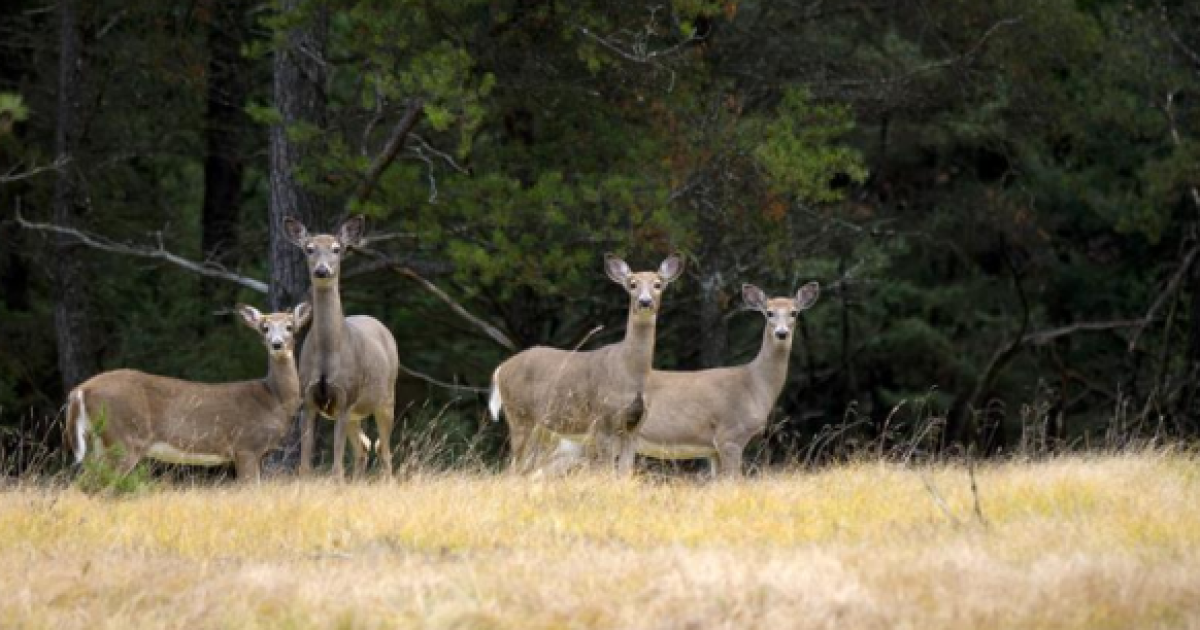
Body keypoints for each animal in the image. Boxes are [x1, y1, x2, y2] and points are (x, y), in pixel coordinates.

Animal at [65, 303, 311, 482]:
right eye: (264, 327)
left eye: (290, 326)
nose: (277, 344)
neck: (274, 400)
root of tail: (81, 389)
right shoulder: (246, 446)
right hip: (124, 438)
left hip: (98, 441)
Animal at [284, 215, 400, 480]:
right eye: (309, 248)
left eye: (337, 249)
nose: (322, 270)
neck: (328, 354)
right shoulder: (308, 400)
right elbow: (305, 466)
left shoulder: (345, 397)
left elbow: (337, 467)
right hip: (356, 414)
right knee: (365, 447)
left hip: (386, 398)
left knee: (385, 452)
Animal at [489, 253, 684, 473]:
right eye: (632, 284)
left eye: (658, 284)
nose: (644, 301)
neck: (631, 373)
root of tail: (500, 369)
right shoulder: (603, 418)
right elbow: (606, 470)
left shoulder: (635, 426)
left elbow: (625, 472)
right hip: (519, 414)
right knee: (512, 469)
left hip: (542, 427)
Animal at [618, 282, 820, 478]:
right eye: (769, 312)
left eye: (794, 312)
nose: (781, 333)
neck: (754, 385)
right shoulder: (730, 435)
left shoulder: (712, 450)